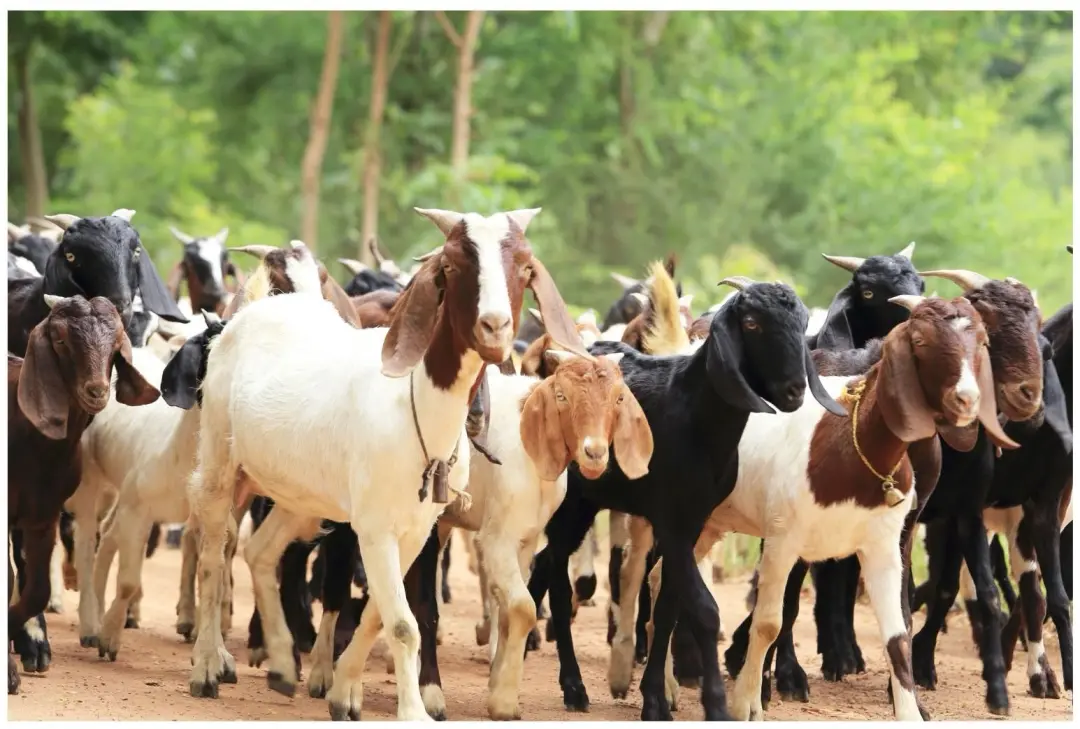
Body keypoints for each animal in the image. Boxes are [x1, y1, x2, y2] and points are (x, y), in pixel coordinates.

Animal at [186, 207, 588, 721]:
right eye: (452, 264)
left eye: (524, 267)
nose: (495, 328)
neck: (415, 405)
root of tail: (254, 311)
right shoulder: (375, 528)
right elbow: (402, 623)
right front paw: (413, 710)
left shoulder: (417, 528)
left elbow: (381, 612)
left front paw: (343, 691)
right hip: (220, 460)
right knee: (213, 556)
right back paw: (207, 666)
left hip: (301, 494)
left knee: (260, 553)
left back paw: (280, 662)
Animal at [526, 276, 845, 720]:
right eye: (751, 323)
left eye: (801, 322)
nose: (795, 390)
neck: (696, 416)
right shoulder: (672, 521)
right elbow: (704, 611)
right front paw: (715, 703)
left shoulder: (693, 521)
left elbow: (669, 606)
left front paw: (655, 698)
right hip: (572, 502)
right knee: (556, 575)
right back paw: (573, 687)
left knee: (546, 564)